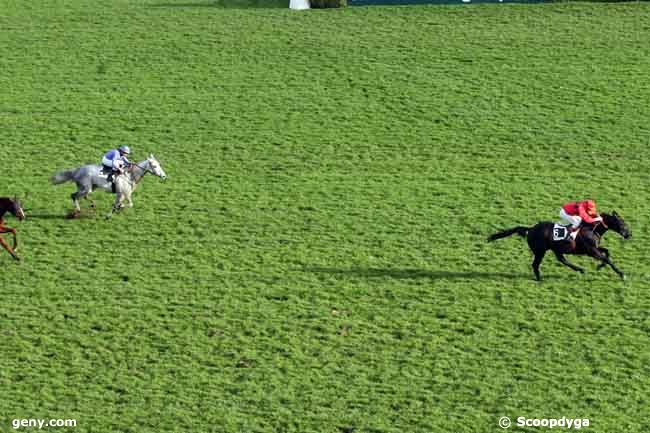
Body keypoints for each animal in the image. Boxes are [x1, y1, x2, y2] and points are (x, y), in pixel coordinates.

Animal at [488, 213, 632, 280]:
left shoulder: (593, 249)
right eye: (621, 223)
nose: (629, 234)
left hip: (555, 249)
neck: (592, 229)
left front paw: (600, 266)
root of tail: (531, 229)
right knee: (536, 264)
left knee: (562, 260)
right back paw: (540, 279)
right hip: (540, 251)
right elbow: (607, 258)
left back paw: (579, 269)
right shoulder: (591, 251)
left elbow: (607, 252)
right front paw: (622, 274)